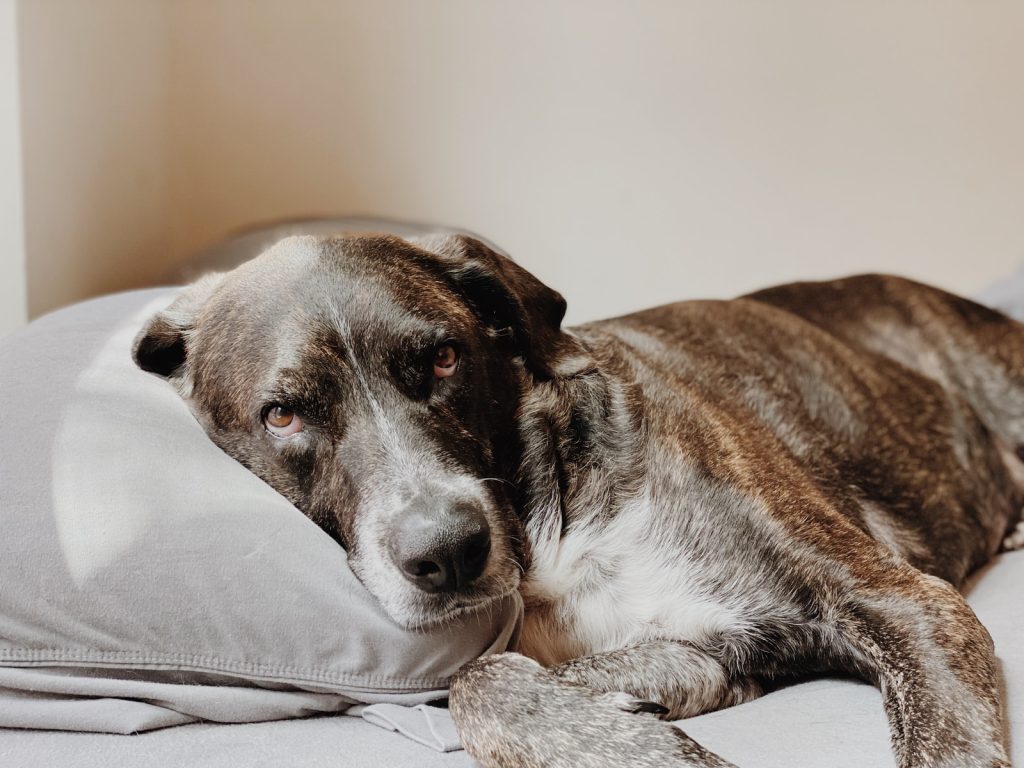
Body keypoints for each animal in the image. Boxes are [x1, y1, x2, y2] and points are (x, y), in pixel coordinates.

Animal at [132, 234, 1019, 768]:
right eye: (283, 414)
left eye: (445, 358)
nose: (448, 551)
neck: (551, 526)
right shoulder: (713, 647)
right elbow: (478, 679)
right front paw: (641, 736)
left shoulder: (904, 603)